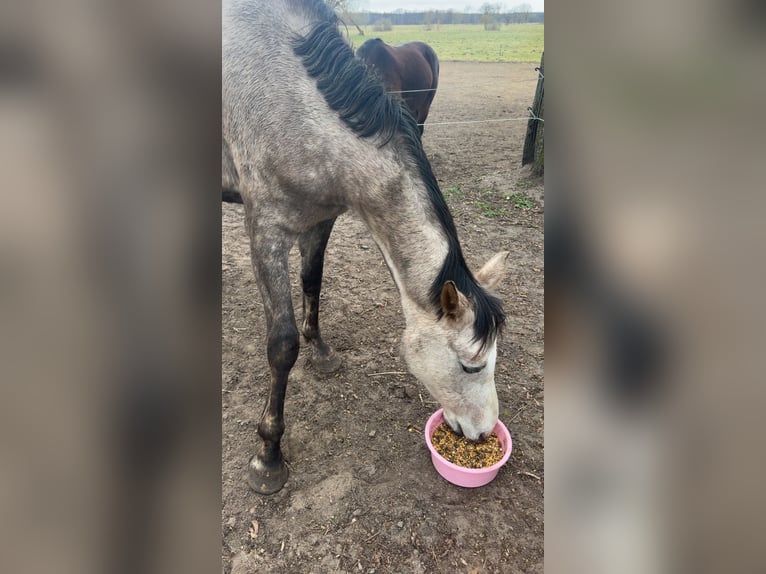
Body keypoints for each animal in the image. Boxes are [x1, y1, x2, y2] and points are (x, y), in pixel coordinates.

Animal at [223, 0, 508, 494]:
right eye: (472, 365)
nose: (485, 431)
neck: (295, 110)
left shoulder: (321, 219)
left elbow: (312, 282)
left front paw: (321, 352)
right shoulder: (266, 233)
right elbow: (281, 345)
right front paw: (268, 456)